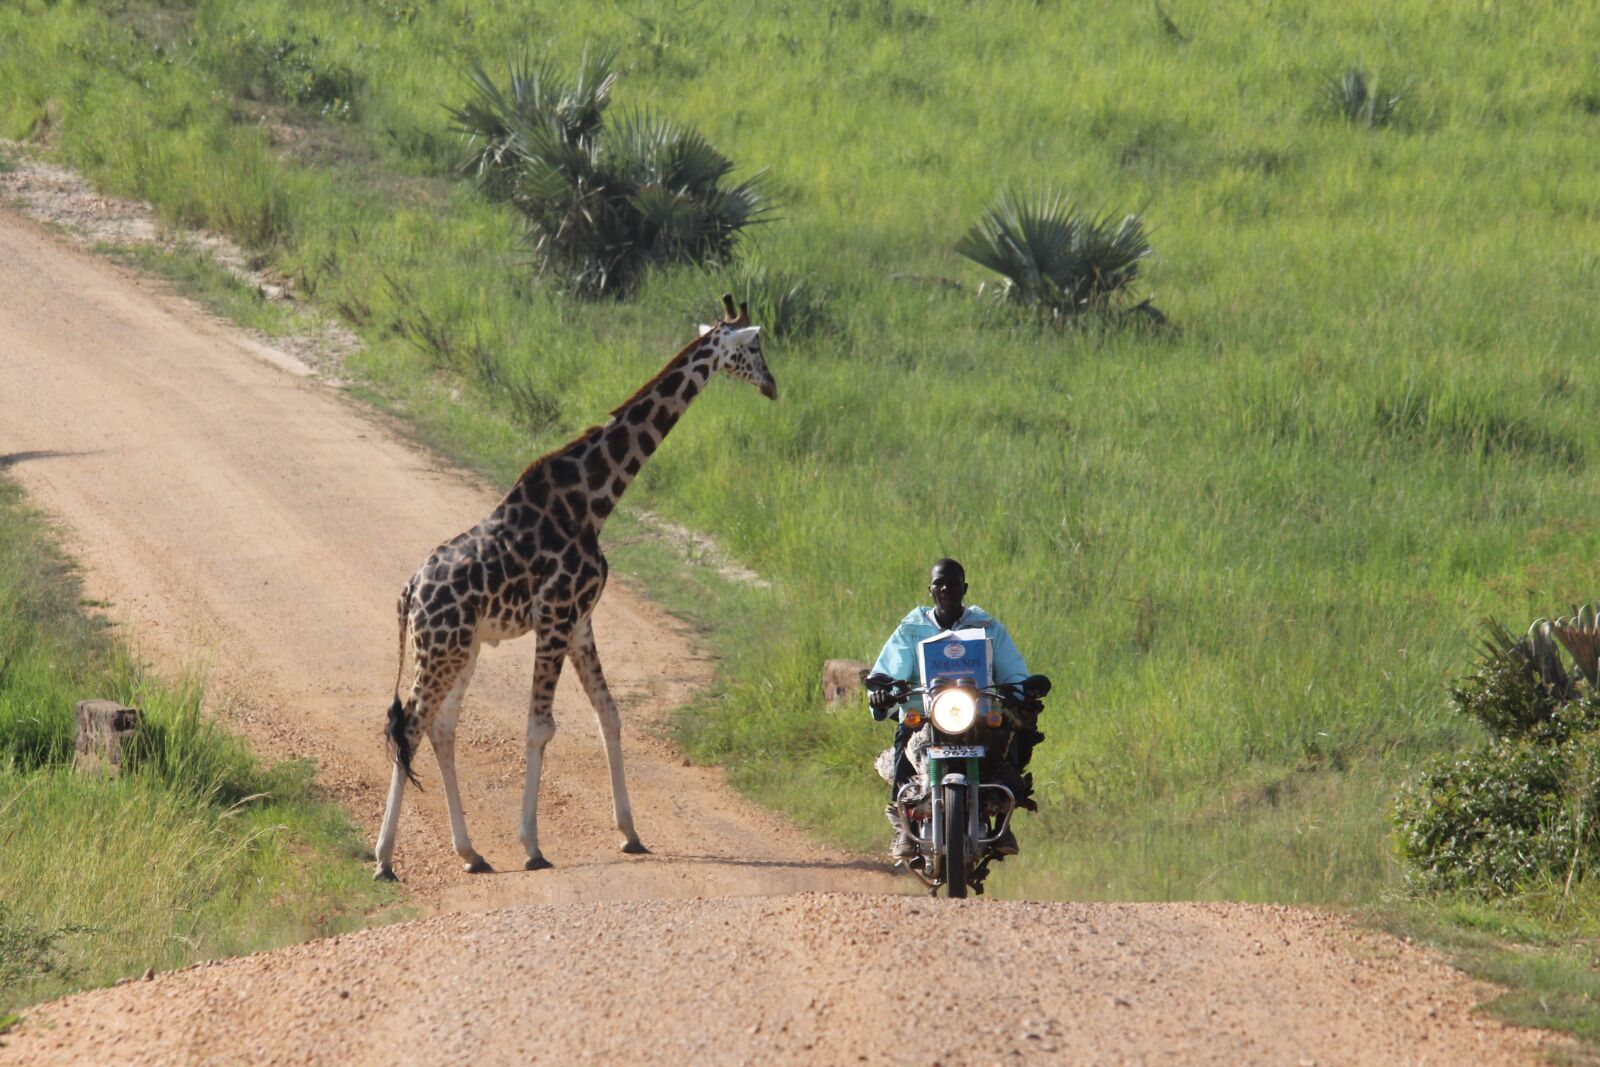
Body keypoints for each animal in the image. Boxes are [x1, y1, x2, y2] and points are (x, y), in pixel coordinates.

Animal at [374, 295, 776, 880]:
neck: (594, 499)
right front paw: (532, 846)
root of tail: (409, 592)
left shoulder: (582, 620)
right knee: (409, 726)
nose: (773, 385)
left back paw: (471, 853)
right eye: (754, 347)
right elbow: (540, 727)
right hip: (443, 648)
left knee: (441, 727)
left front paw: (631, 833)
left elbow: (609, 714)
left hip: (462, 647)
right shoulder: (557, 615)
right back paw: (384, 859)